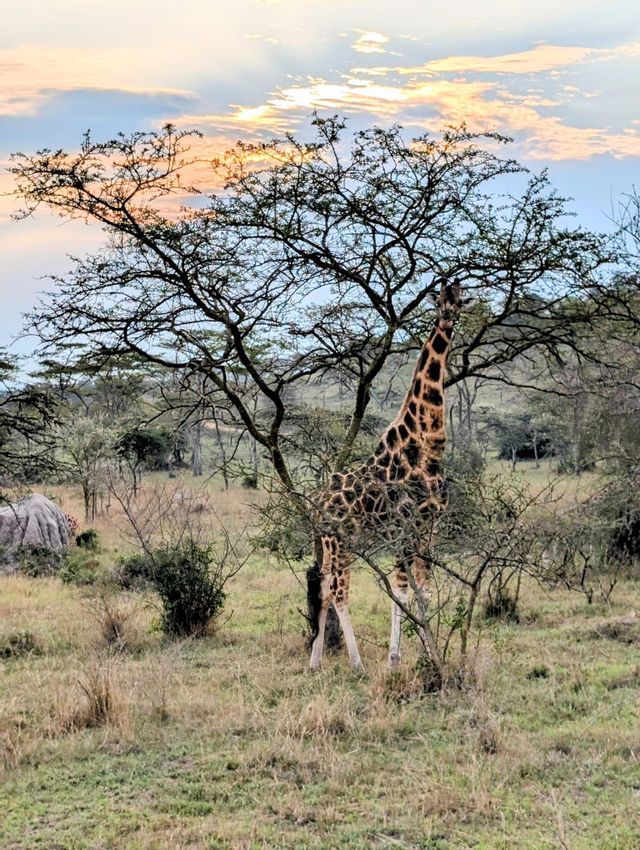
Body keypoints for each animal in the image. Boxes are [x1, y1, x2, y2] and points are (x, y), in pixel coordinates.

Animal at [309, 279, 463, 672]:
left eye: (459, 299)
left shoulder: (428, 526)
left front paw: (422, 653)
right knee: (339, 590)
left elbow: (417, 589)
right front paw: (404, 657)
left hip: (332, 542)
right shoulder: (407, 526)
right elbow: (407, 590)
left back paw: (315, 662)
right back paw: (356, 663)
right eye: (439, 300)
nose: (448, 316)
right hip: (341, 539)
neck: (427, 446)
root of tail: (317, 502)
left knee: (324, 585)